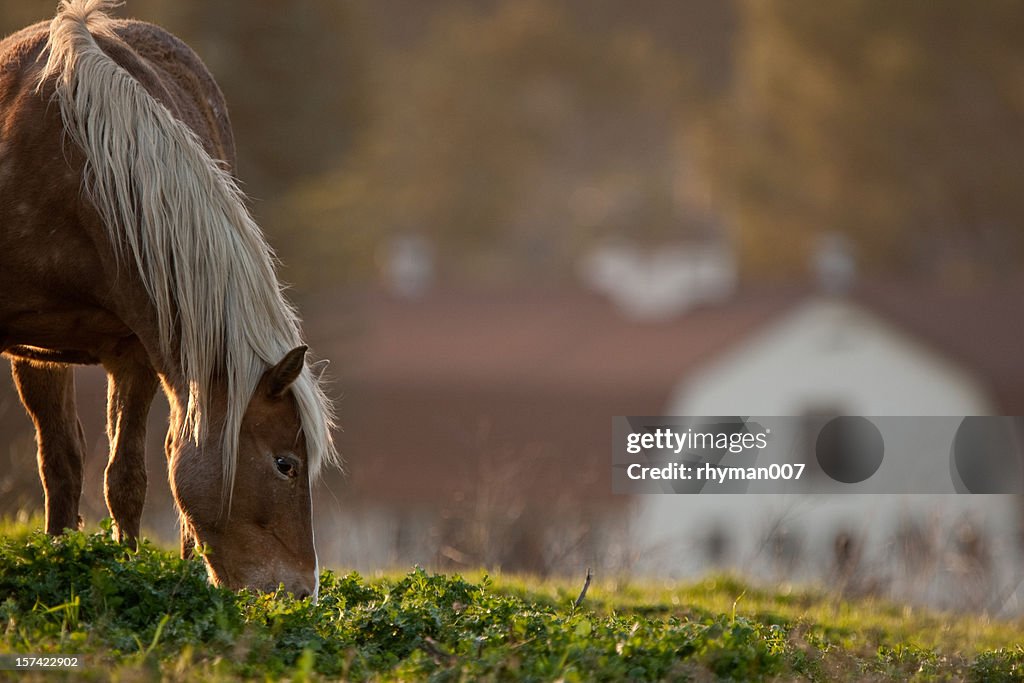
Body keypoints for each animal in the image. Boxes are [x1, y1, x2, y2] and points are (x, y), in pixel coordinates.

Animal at [0, 0, 337, 598]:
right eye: (285, 464)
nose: (300, 591)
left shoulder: (134, 350)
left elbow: (127, 478)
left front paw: (126, 567)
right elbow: (70, 465)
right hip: (36, 356)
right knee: (60, 460)